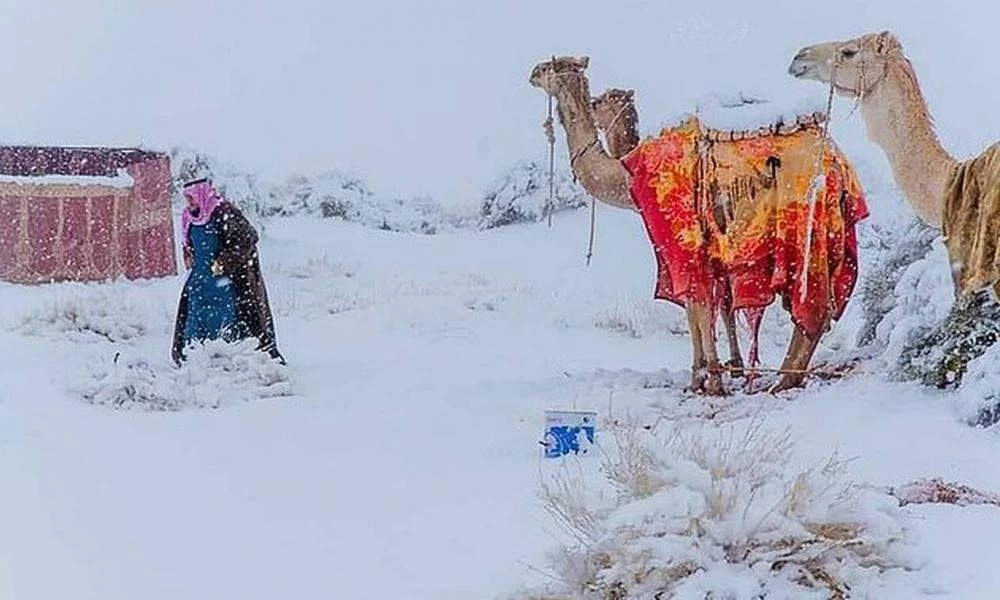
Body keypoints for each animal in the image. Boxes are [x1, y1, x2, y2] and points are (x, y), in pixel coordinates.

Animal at [532, 56, 868, 396]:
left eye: (549, 67)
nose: (532, 73)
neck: (627, 176)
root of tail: (838, 165)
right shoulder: (713, 251)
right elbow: (715, 306)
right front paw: (723, 371)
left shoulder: (681, 242)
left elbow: (696, 306)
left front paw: (707, 379)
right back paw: (785, 377)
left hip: (806, 225)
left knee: (813, 306)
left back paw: (782, 380)